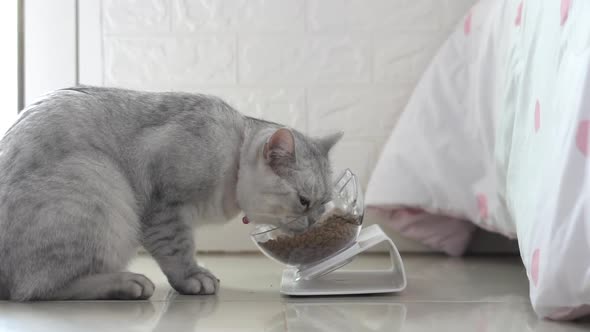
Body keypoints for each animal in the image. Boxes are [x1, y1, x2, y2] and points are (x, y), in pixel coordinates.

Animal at [0, 85, 342, 300]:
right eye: (304, 202)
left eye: (324, 204)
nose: (314, 222)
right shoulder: (165, 207)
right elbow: (178, 251)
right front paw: (193, 278)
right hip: (98, 183)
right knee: (35, 289)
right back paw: (127, 283)